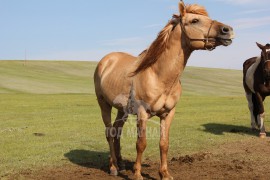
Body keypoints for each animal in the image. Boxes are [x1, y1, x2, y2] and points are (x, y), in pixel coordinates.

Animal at [94, 1, 233, 179]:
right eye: (195, 20)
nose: (227, 30)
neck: (158, 75)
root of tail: (106, 60)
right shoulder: (142, 114)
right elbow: (141, 144)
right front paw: (137, 174)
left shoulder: (168, 114)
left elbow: (164, 144)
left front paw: (164, 173)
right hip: (104, 105)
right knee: (110, 133)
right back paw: (113, 167)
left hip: (121, 109)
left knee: (117, 132)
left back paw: (122, 165)